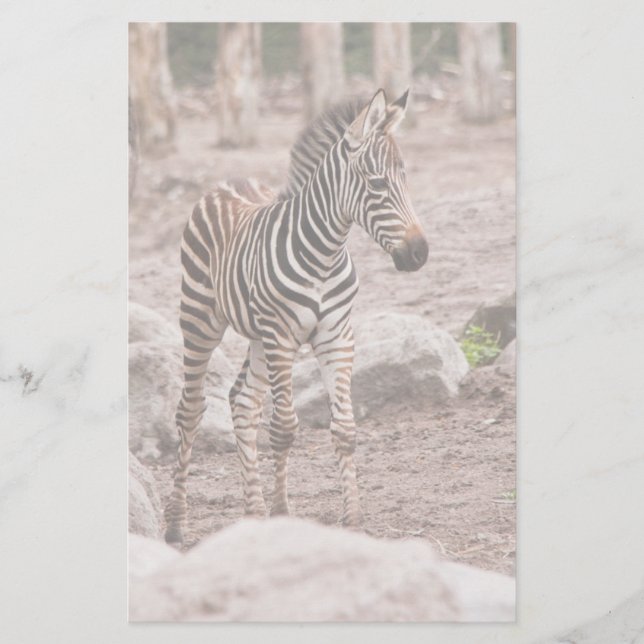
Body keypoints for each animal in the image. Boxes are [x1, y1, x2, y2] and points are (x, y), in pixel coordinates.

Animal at [164, 89, 428, 545]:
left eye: (406, 178)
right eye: (378, 184)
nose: (420, 253)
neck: (325, 253)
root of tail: (230, 181)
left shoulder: (336, 336)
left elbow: (345, 430)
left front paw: (350, 521)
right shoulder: (282, 336)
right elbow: (285, 428)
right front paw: (283, 513)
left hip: (256, 336)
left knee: (242, 401)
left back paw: (252, 514)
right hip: (201, 319)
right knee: (191, 409)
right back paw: (177, 525)